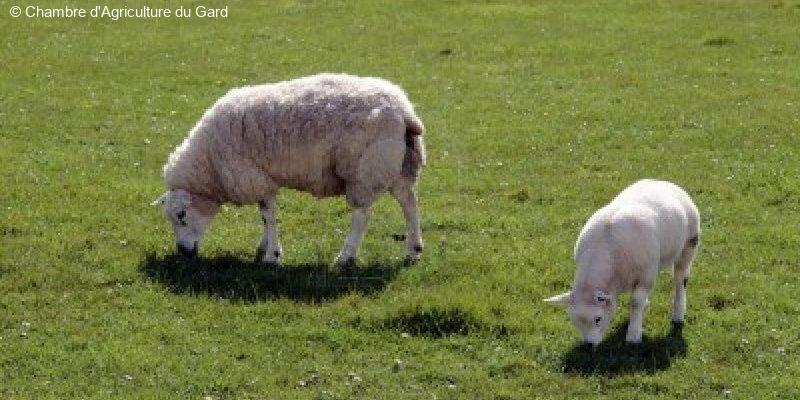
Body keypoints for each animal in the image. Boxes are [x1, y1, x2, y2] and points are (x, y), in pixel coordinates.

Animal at [151, 73, 424, 268]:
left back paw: (346, 257)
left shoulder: (255, 177)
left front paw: (272, 255)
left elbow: (268, 216)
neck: (209, 163)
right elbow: (266, 216)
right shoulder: (263, 179)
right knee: (410, 204)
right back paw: (413, 251)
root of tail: (403, 110)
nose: (183, 252)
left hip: (365, 168)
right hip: (398, 165)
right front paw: (265, 247)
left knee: (362, 215)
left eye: (181, 215)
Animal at [544, 180, 700, 346]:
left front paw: (633, 334)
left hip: (689, 244)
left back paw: (678, 314)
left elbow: (636, 301)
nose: (588, 346)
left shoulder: (646, 275)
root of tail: (662, 181)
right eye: (574, 321)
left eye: (598, 319)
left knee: (680, 280)